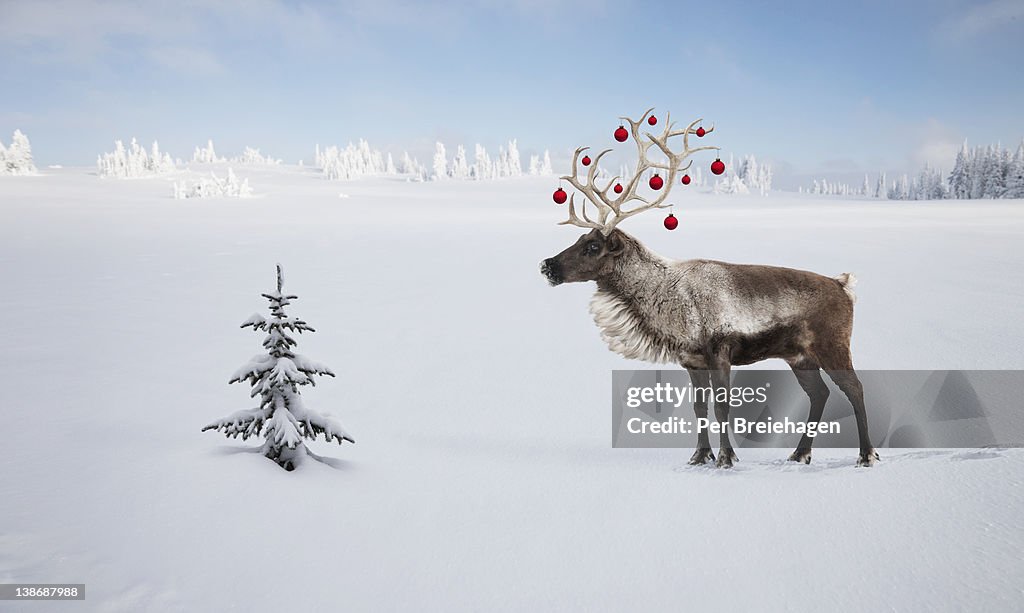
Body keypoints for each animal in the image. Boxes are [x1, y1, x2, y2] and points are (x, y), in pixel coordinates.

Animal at [539, 108, 878, 468]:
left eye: (592, 246)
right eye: (579, 238)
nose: (547, 265)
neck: (669, 303)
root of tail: (844, 286)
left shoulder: (721, 349)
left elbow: (722, 406)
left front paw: (726, 458)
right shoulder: (692, 360)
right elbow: (699, 407)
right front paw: (700, 456)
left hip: (833, 344)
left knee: (855, 388)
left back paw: (866, 454)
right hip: (798, 356)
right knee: (820, 393)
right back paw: (800, 453)